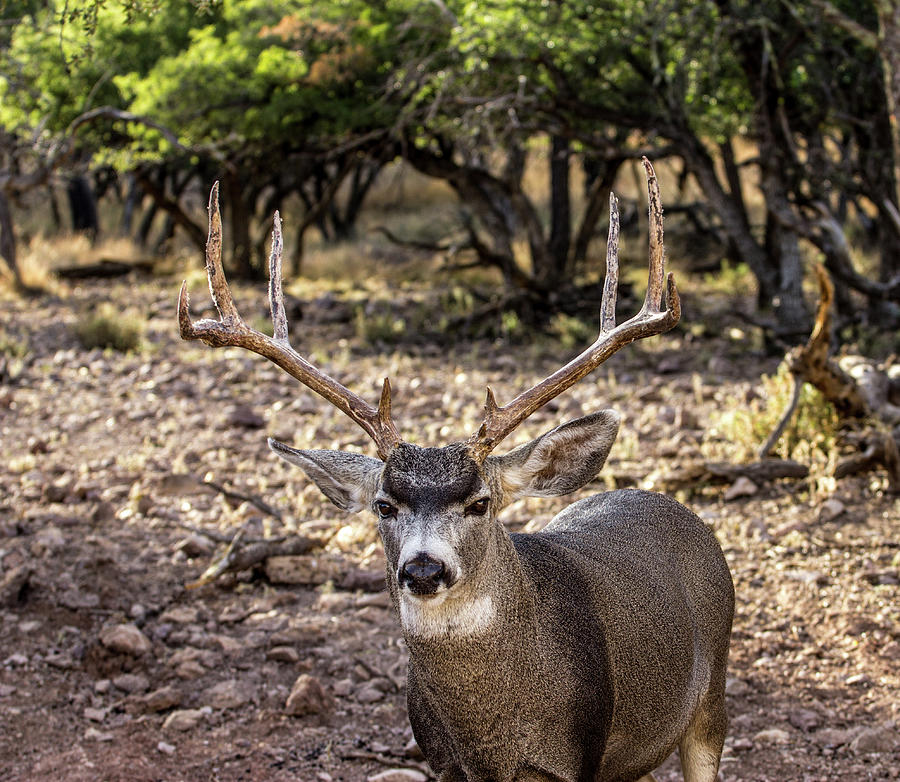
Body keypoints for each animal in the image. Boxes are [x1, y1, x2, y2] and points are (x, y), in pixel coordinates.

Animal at [179, 159, 736, 782]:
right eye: (384, 505)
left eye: (479, 503)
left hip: (711, 699)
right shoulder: (441, 760)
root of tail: (666, 502)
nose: (423, 569)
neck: (491, 739)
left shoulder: (579, 756)